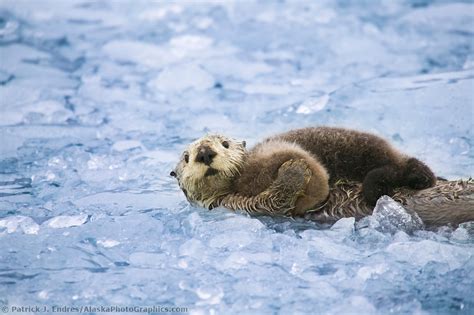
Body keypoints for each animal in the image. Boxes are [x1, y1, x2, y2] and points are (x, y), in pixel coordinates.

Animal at [170, 127, 436, 216]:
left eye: (224, 144)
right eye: (187, 157)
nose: (205, 153)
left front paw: (294, 167)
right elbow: (274, 202)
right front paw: (295, 169)